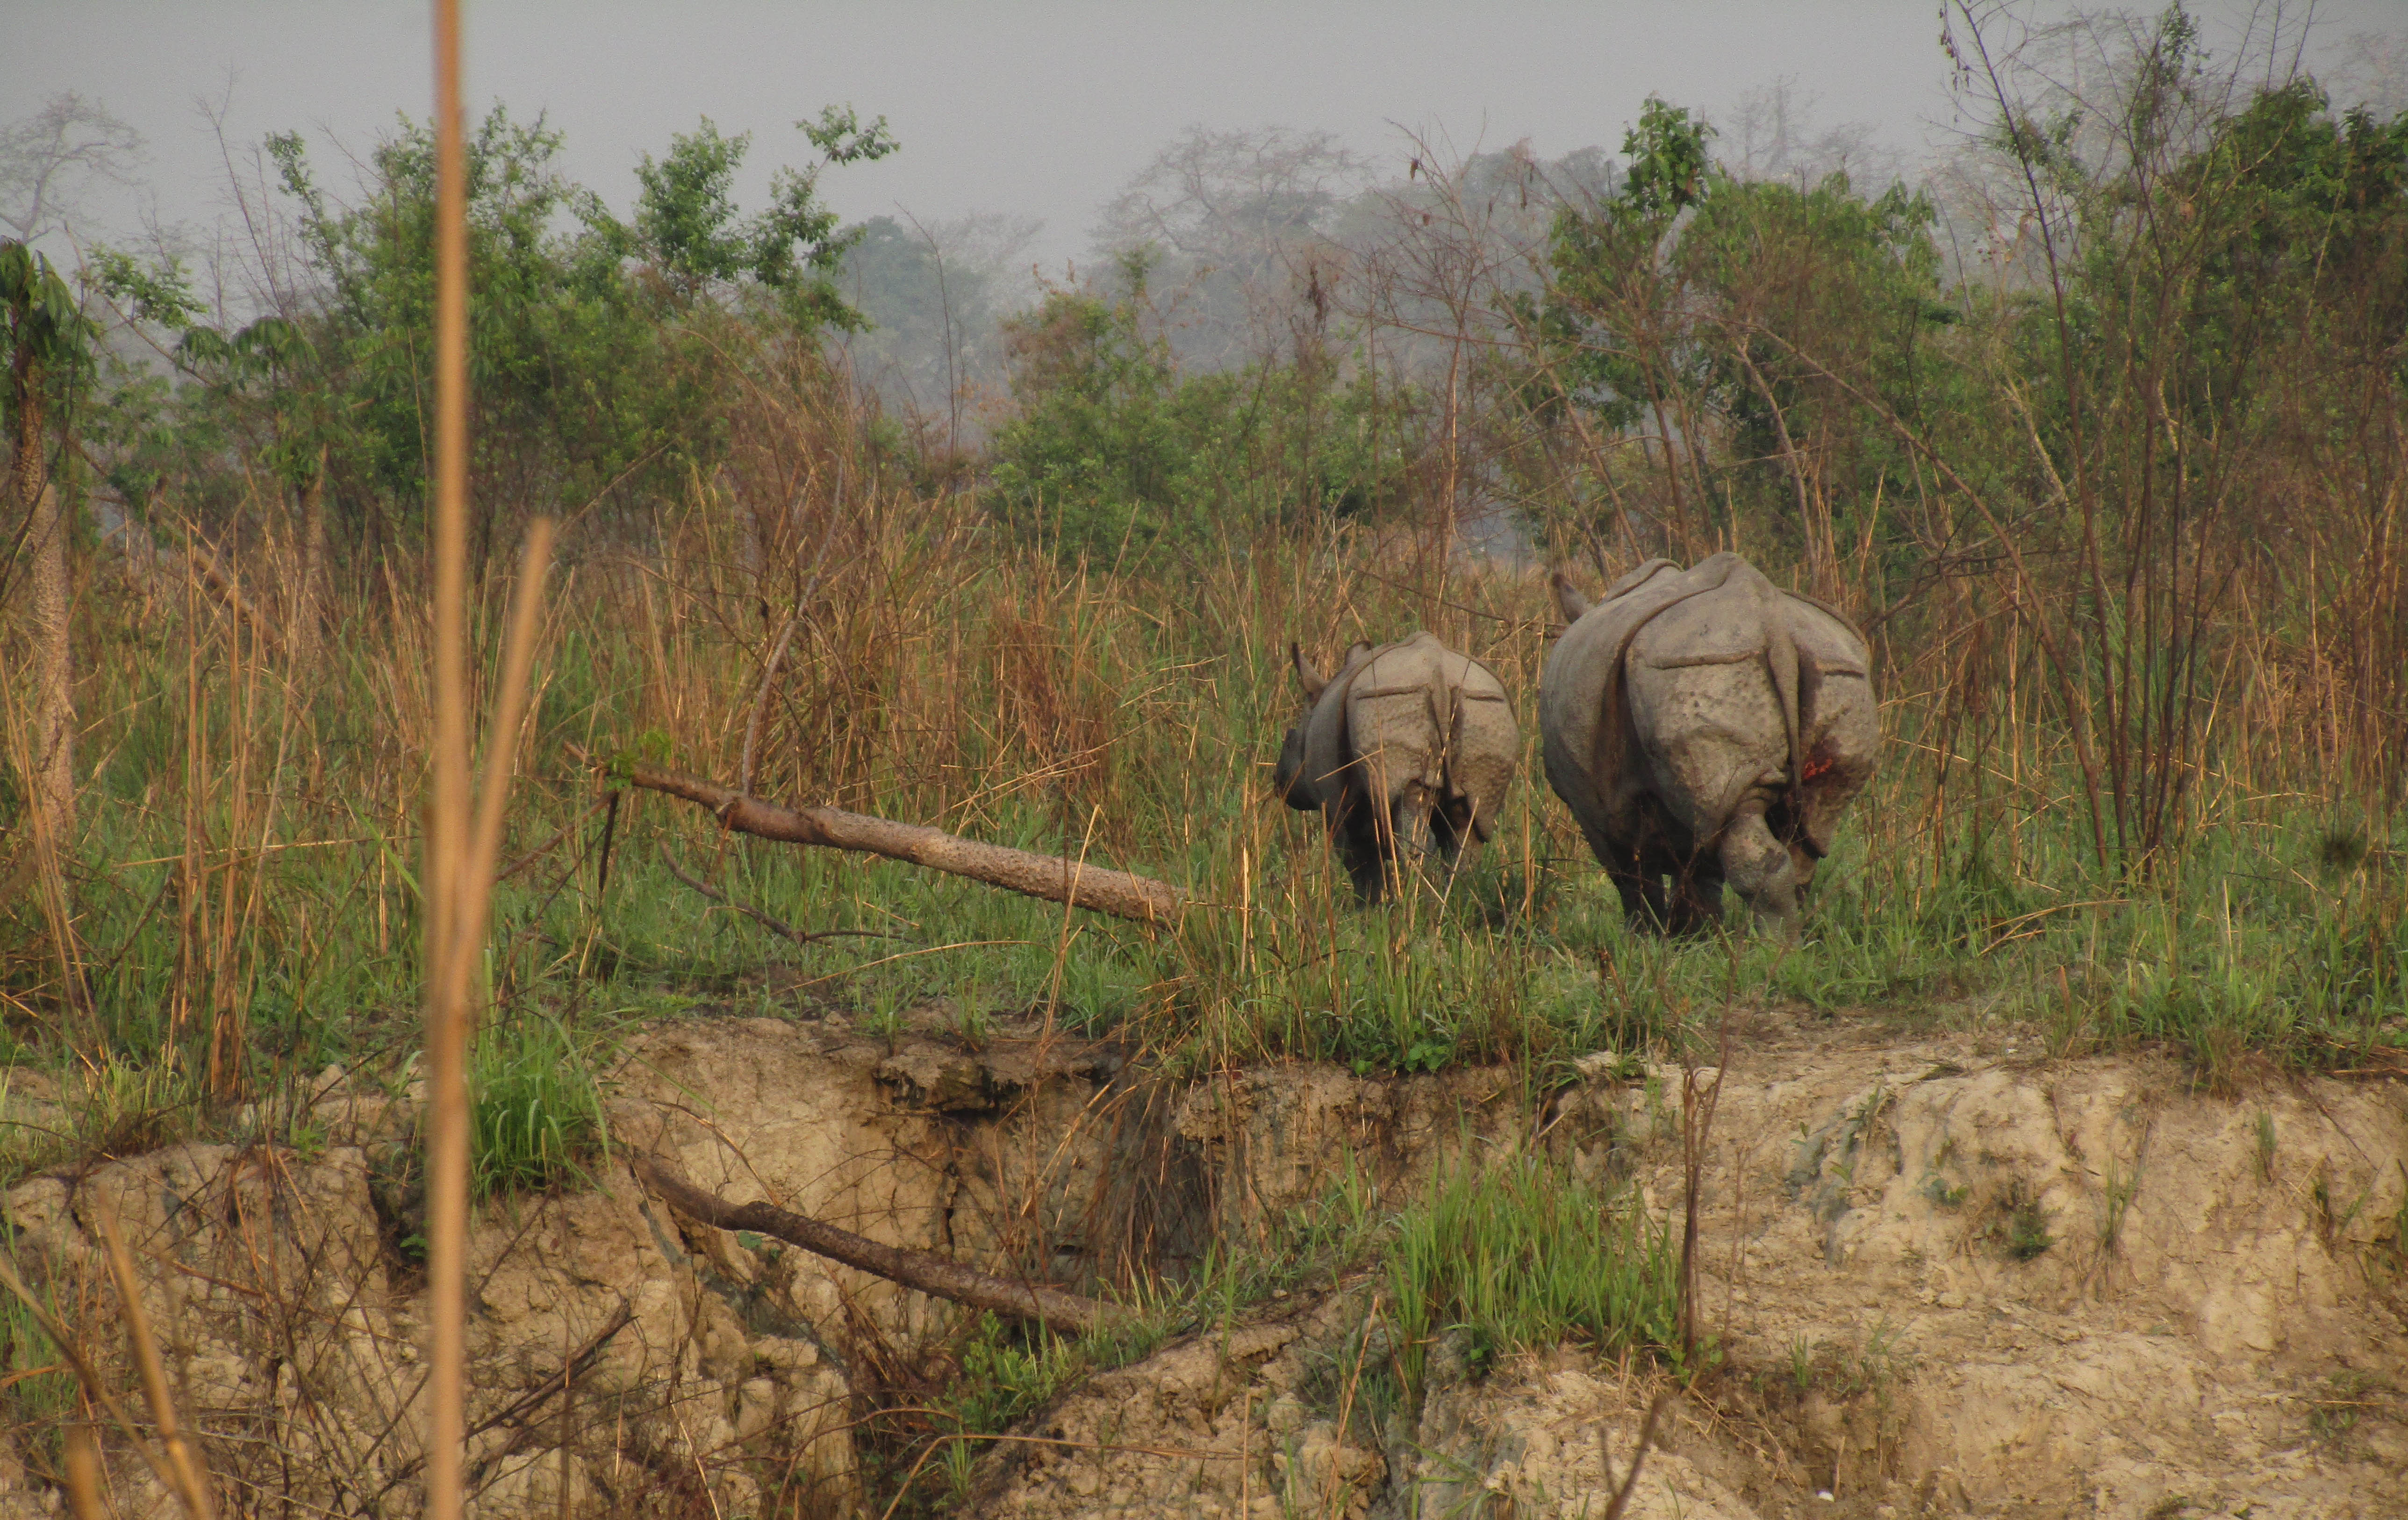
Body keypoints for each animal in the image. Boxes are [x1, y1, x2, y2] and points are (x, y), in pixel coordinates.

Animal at [1273, 631, 1519, 902]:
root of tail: (1439, 674)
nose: (1278, 782)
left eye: (1288, 743)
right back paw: (1452, 901)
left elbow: (1360, 862)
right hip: (1485, 708)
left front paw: (1371, 907)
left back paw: (1413, 903)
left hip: (1388, 704)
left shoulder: (1338, 808)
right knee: (1467, 827)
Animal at [1540, 553, 1877, 937]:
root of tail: (1773, 622)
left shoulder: (1593, 808)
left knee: (1741, 827)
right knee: (1810, 827)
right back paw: (1791, 941)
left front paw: (1643, 938)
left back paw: (1771, 948)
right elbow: (1700, 871)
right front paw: (1697, 936)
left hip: (1698, 669)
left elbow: (1631, 875)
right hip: (1837, 674)